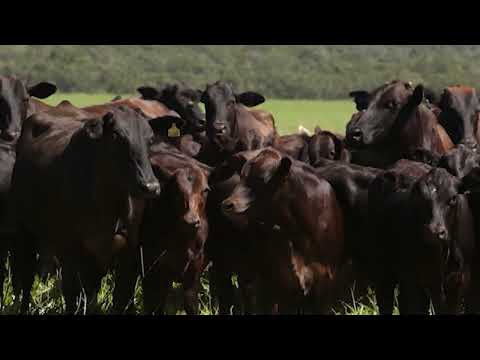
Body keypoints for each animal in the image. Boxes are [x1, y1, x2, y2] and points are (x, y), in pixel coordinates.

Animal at [7, 105, 161, 314]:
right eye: (117, 135)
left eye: (150, 138)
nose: (150, 186)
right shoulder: (71, 252)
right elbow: (74, 299)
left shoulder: (129, 252)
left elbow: (120, 299)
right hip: (24, 231)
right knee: (26, 280)